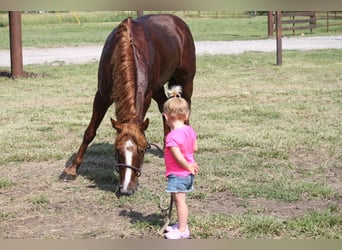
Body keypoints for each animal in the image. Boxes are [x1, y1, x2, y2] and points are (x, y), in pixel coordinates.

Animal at [60, 14, 196, 195]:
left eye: (142, 150)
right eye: (116, 150)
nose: (126, 189)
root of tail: (178, 21)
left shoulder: (145, 96)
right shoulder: (102, 96)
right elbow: (90, 132)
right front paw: (71, 169)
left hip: (186, 81)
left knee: (185, 110)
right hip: (158, 86)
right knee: (163, 106)